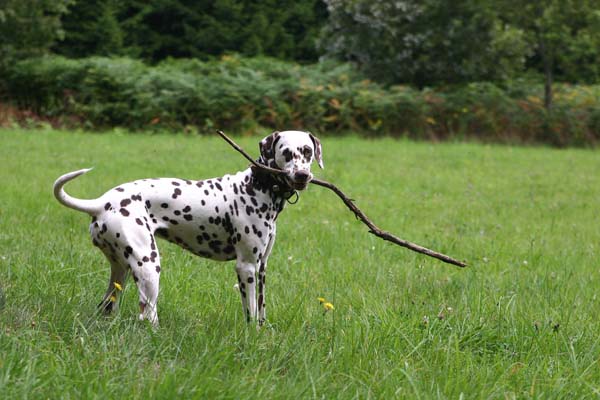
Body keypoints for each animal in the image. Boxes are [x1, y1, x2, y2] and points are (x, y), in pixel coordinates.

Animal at [52, 131, 324, 324]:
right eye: (286, 153)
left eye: (307, 151)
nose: (302, 175)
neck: (257, 185)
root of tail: (102, 203)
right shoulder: (246, 267)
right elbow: (251, 314)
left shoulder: (262, 267)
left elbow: (261, 313)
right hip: (148, 267)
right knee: (147, 315)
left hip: (121, 271)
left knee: (107, 306)